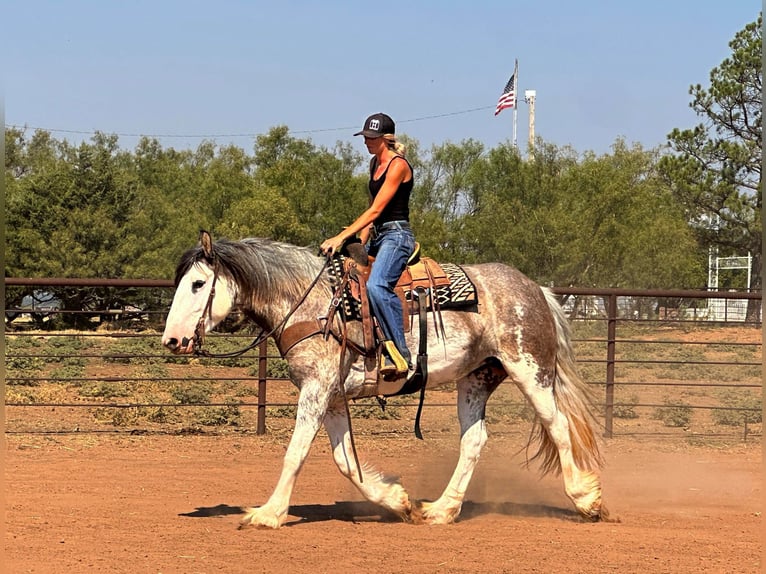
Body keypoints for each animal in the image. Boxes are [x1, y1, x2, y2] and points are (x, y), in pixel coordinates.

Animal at [164, 232, 612, 528]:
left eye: (198, 284)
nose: (172, 340)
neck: (313, 303)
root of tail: (535, 289)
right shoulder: (331, 396)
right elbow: (345, 462)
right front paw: (396, 501)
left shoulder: (316, 389)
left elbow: (296, 453)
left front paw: (268, 514)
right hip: (476, 378)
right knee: (474, 440)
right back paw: (442, 509)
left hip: (530, 369)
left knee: (558, 426)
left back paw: (586, 501)